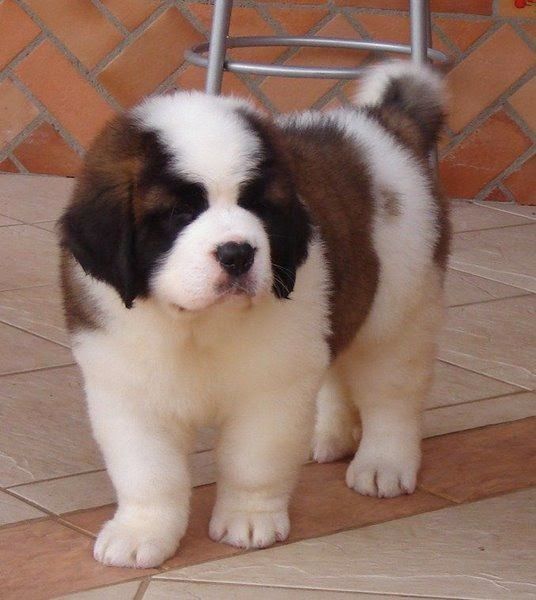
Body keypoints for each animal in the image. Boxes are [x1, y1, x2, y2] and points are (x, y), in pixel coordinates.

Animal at [60, 62, 450, 572]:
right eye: (179, 212)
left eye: (257, 205)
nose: (237, 253)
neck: (197, 325)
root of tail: (381, 121)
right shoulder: (129, 390)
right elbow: (148, 472)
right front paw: (141, 532)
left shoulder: (270, 390)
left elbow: (253, 461)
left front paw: (248, 520)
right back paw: (330, 433)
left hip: (400, 310)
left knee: (391, 395)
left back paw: (383, 463)